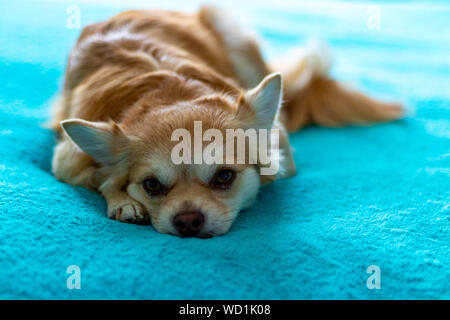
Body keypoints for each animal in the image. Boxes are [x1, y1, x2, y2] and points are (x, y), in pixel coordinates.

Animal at [51, 5, 402, 238]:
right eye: (151, 185)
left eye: (224, 177)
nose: (188, 220)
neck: (168, 93)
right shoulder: (65, 159)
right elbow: (100, 178)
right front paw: (123, 200)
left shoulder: (281, 149)